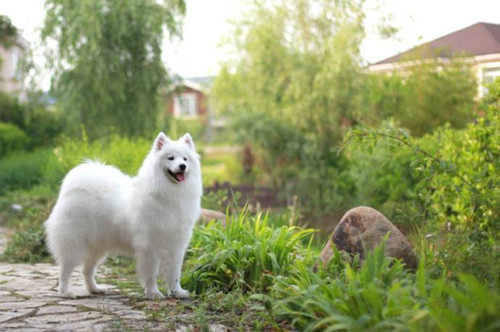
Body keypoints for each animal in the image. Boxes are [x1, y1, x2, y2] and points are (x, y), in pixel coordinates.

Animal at [44, 132, 201, 298]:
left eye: (185, 159)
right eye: (170, 158)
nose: (182, 166)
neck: (171, 193)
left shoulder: (176, 246)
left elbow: (174, 274)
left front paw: (177, 292)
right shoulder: (149, 246)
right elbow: (151, 274)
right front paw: (154, 293)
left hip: (97, 246)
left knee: (87, 270)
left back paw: (95, 289)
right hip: (75, 243)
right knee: (65, 269)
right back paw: (65, 292)